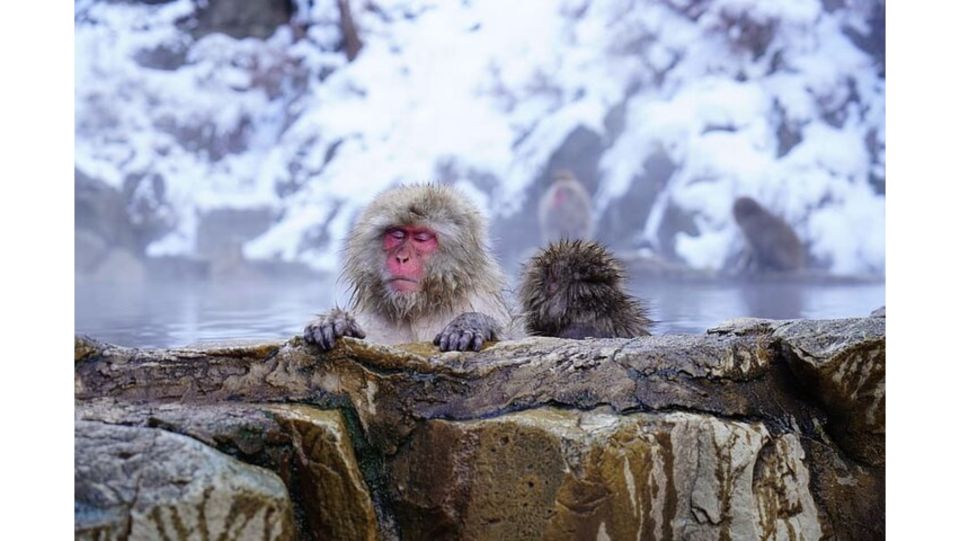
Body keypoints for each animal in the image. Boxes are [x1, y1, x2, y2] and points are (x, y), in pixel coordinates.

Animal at [303, 184, 514, 352]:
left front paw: (470, 324)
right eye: (397, 234)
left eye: (421, 237)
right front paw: (335, 321)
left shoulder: (481, 301)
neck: (417, 308)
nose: (402, 258)